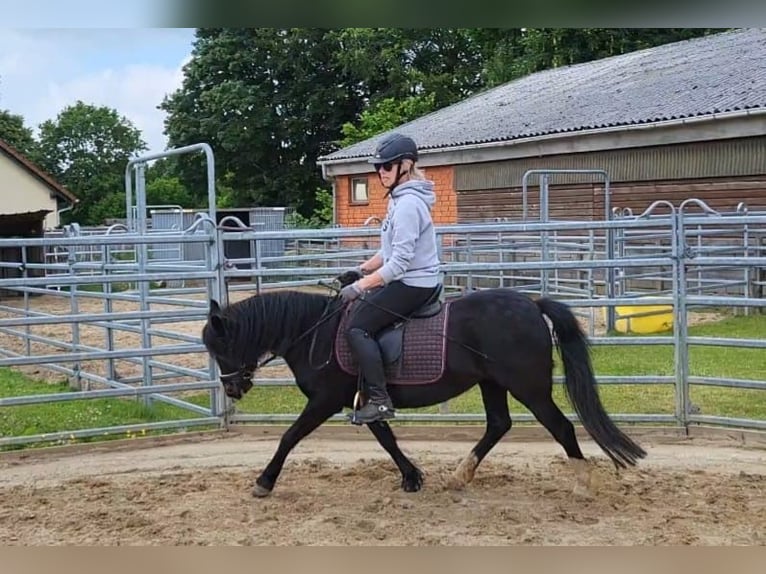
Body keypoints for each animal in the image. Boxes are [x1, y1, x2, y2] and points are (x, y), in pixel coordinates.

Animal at [201, 278, 646, 499]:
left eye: (221, 346)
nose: (234, 389)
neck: (316, 332)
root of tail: (532, 305)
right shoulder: (363, 399)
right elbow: (386, 438)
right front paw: (413, 477)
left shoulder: (326, 400)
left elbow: (289, 437)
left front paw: (264, 482)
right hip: (492, 384)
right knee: (498, 425)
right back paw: (460, 477)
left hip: (529, 388)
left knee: (562, 428)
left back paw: (582, 485)